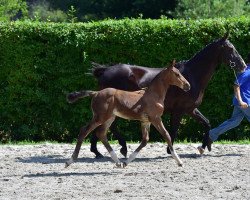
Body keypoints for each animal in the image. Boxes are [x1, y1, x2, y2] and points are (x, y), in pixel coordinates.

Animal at [89, 33, 246, 158]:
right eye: (230, 48)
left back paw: (98, 151)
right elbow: (173, 130)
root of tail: (105, 71)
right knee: (107, 126)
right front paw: (170, 151)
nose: (243, 65)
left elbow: (206, 123)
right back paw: (121, 148)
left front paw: (204, 147)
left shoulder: (190, 109)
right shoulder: (178, 111)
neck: (192, 76)